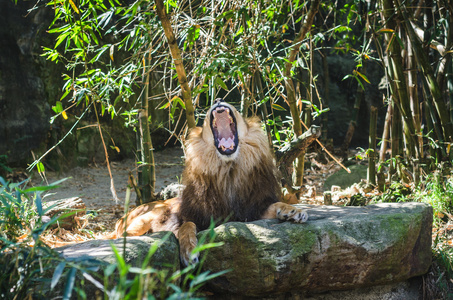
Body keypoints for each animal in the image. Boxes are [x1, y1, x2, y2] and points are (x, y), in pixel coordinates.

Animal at [110, 99, 308, 266]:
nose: (218, 99)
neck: (228, 171)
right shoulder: (188, 217)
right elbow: (186, 227)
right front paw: (189, 252)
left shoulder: (249, 211)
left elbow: (276, 205)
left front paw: (293, 211)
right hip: (150, 214)